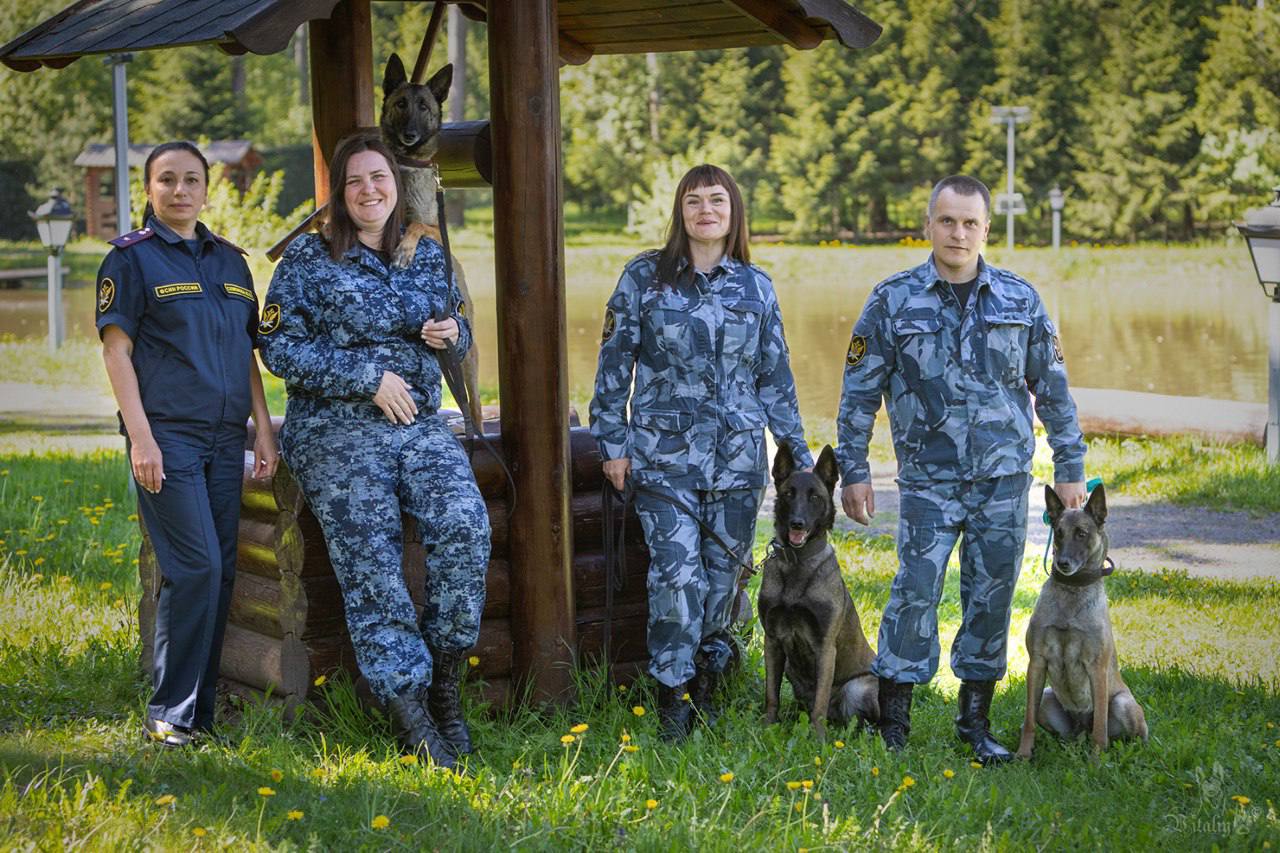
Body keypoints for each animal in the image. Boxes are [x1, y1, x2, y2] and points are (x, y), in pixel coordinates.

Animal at [757, 445, 880, 737]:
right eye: (789, 494)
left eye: (814, 497)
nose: (797, 524)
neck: (797, 562)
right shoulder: (772, 641)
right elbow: (771, 694)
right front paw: (769, 725)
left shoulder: (825, 648)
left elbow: (820, 703)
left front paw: (817, 738)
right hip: (791, 670)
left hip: (859, 686)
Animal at [1018, 481, 1152, 753]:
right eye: (1058, 532)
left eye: (1081, 533)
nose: (1062, 563)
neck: (1072, 593)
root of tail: (1081, 726)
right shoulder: (1036, 663)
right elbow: (1028, 721)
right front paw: (1022, 755)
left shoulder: (1096, 668)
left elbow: (1100, 727)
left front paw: (1096, 760)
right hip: (1047, 696)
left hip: (1123, 703)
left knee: (1128, 733)